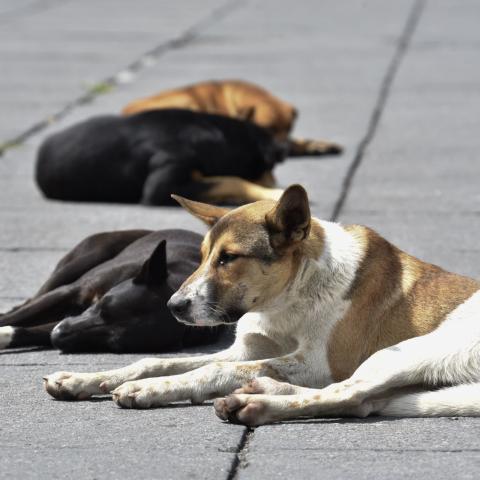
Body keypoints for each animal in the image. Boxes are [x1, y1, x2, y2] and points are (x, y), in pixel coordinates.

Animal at [0, 229, 222, 352]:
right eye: (102, 306)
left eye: (113, 345)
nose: (58, 335)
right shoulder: (70, 292)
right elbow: (19, 317)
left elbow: (30, 331)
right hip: (82, 261)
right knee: (31, 300)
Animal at [42, 186, 480, 426]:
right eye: (202, 255)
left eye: (229, 258)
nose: (174, 306)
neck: (289, 298)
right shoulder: (247, 349)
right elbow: (156, 361)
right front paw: (86, 379)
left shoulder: (319, 363)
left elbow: (211, 370)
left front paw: (149, 390)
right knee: (367, 401)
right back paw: (260, 391)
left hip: (405, 352)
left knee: (348, 395)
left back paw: (253, 404)